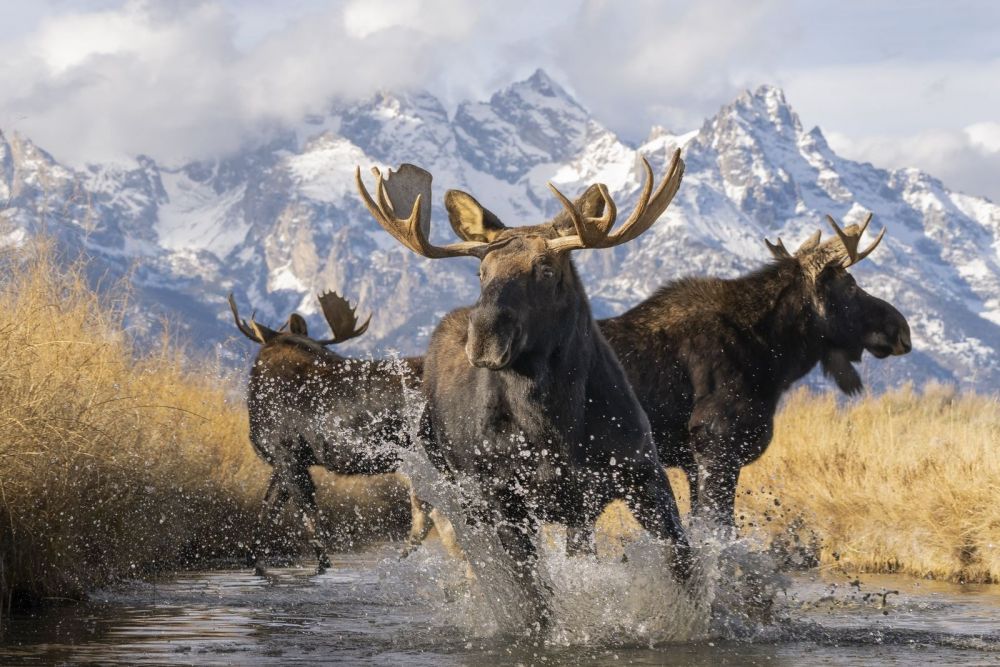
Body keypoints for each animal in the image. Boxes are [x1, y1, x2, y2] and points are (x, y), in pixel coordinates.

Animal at [230, 292, 434, 576]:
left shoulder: (287, 455)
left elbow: (306, 514)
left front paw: (323, 564)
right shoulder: (290, 461)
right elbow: (268, 510)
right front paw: (253, 561)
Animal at [358, 154, 696, 628]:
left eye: (546, 268)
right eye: (481, 271)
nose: (483, 336)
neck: (555, 423)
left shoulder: (637, 472)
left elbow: (682, 563)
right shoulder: (501, 498)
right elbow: (532, 598)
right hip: (458, 493)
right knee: (471, 560)